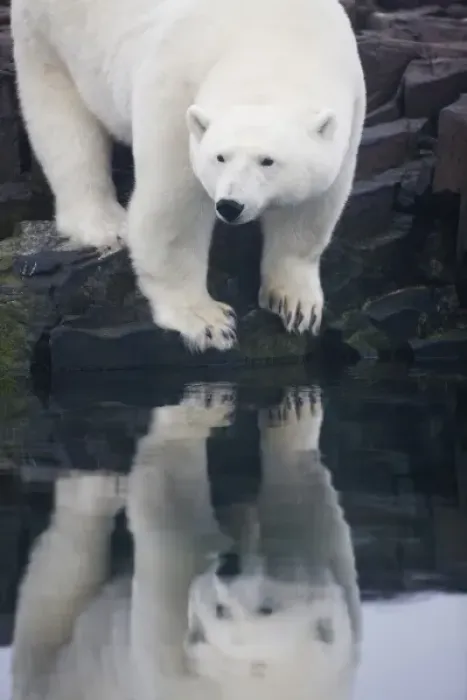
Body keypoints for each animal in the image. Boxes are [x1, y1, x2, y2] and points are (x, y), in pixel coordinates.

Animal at [11, 0, 366, 353]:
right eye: (219, 157)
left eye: (268, 161)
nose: (230, 205)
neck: (273, 41)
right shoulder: (176, 95)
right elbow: (173, 210)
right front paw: (208, 322)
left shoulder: (350, 105)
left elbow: (311, 210)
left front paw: (295, 304)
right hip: (51, 34)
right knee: (63, 122)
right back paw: (104, 225)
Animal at [12, 384, 361, 700]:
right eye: (222, 608)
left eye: (264, 608)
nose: (229, 566)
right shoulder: (344, 611)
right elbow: (304, 515)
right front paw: (294, 412)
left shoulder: (171, 636)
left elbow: (169, 503)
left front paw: (200, 409)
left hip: (69, 672)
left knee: (54, 595)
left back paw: (93, 491)